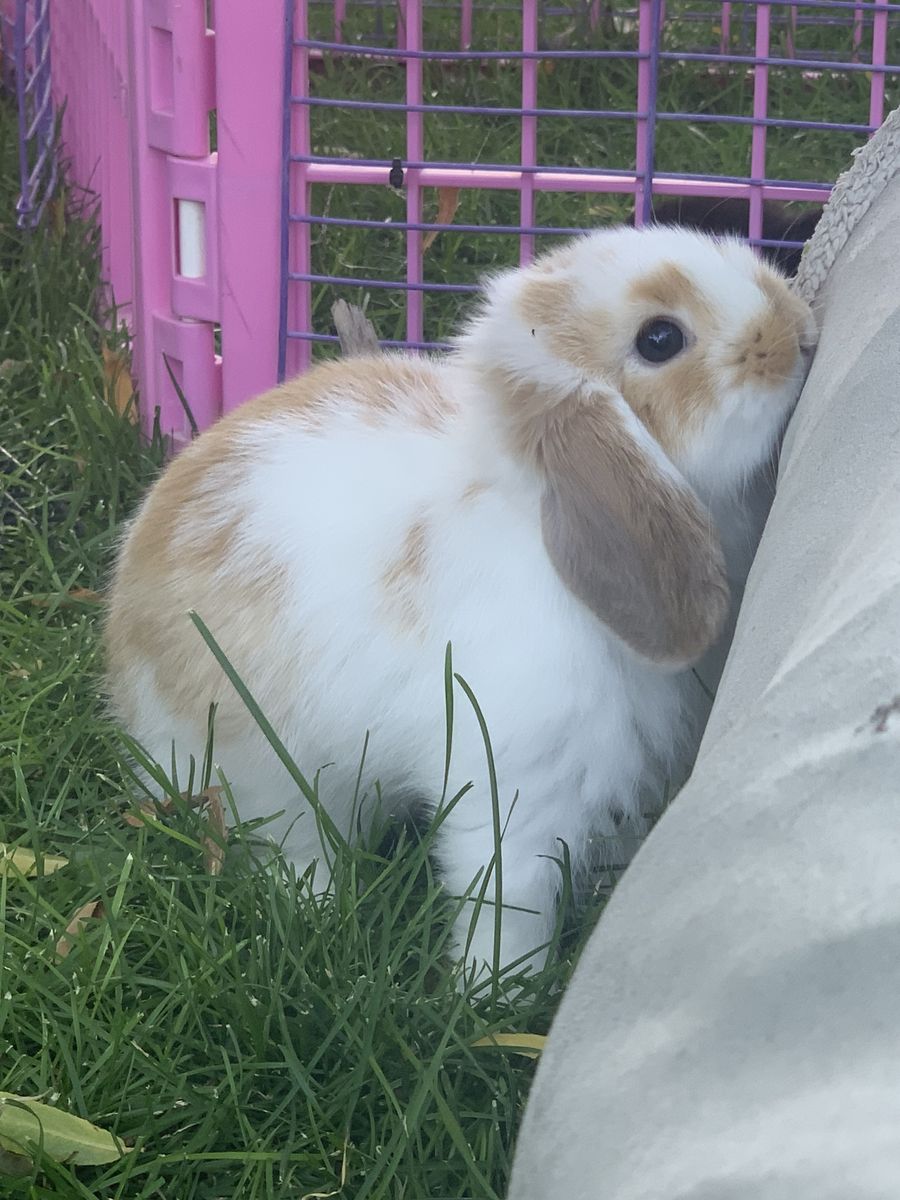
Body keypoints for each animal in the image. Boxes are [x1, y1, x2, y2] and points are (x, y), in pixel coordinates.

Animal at [105, 225, 817, 979]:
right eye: (659, 339)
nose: (802, 332)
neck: (539, 520)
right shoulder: (520, 778)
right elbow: (510, 892)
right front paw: (498, 988)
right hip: (263, 771)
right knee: (284, 843)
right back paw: (320, 910)